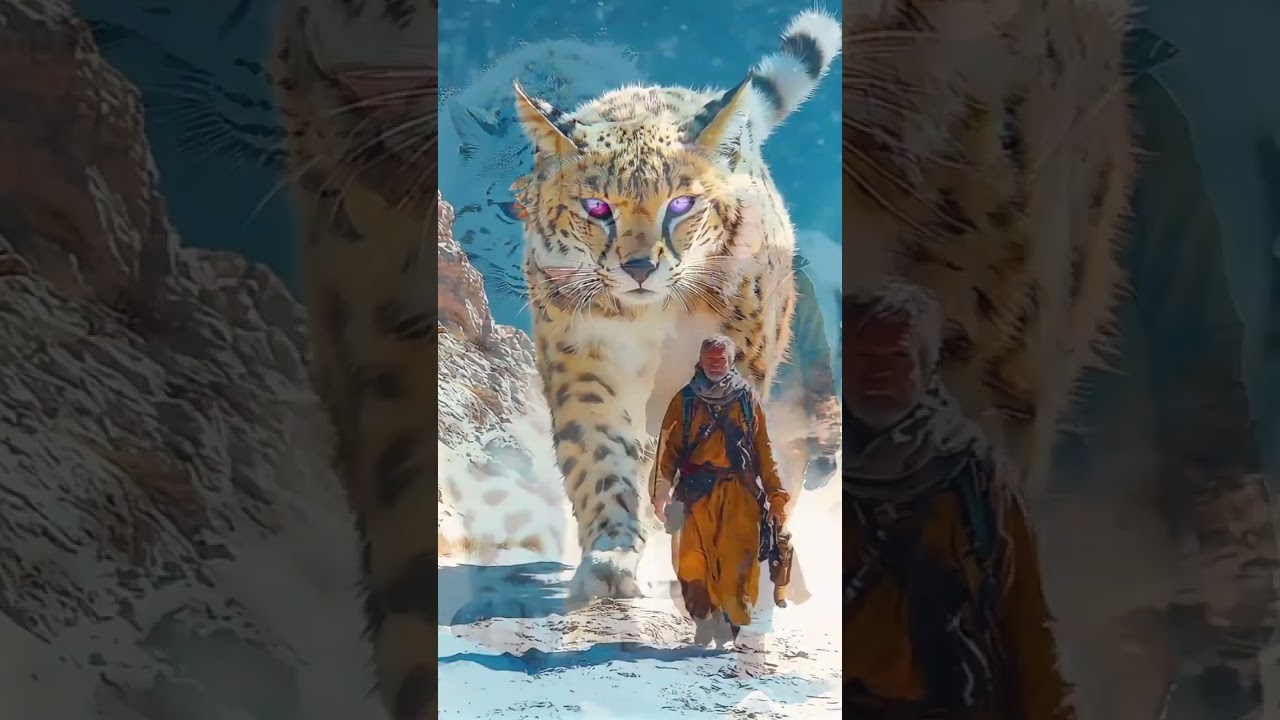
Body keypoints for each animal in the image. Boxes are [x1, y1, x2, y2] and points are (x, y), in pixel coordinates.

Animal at [510, 9, 842, 599]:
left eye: (681, 203)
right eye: (597, 207)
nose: (640, 267)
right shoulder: (582, 356)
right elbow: (600, 452)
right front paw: (611, 556)